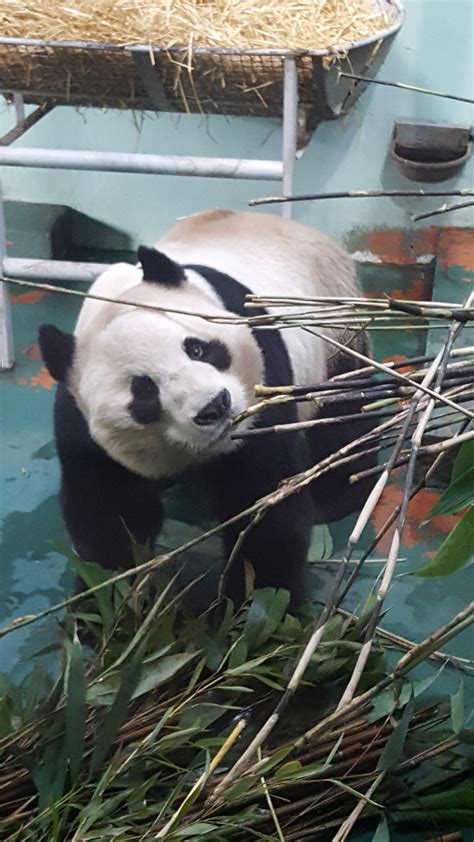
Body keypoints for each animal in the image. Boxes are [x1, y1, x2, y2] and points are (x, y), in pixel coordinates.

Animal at [39, 210, 374, 604]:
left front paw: (260, 604)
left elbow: (262, 498)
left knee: (343, 417)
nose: (215, 407)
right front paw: (105, 604)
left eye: (197, 348)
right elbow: (109, 516)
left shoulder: (262, 382)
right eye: (144, 391)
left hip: (336, 333)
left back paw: (335, 496)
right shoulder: (83, 427)